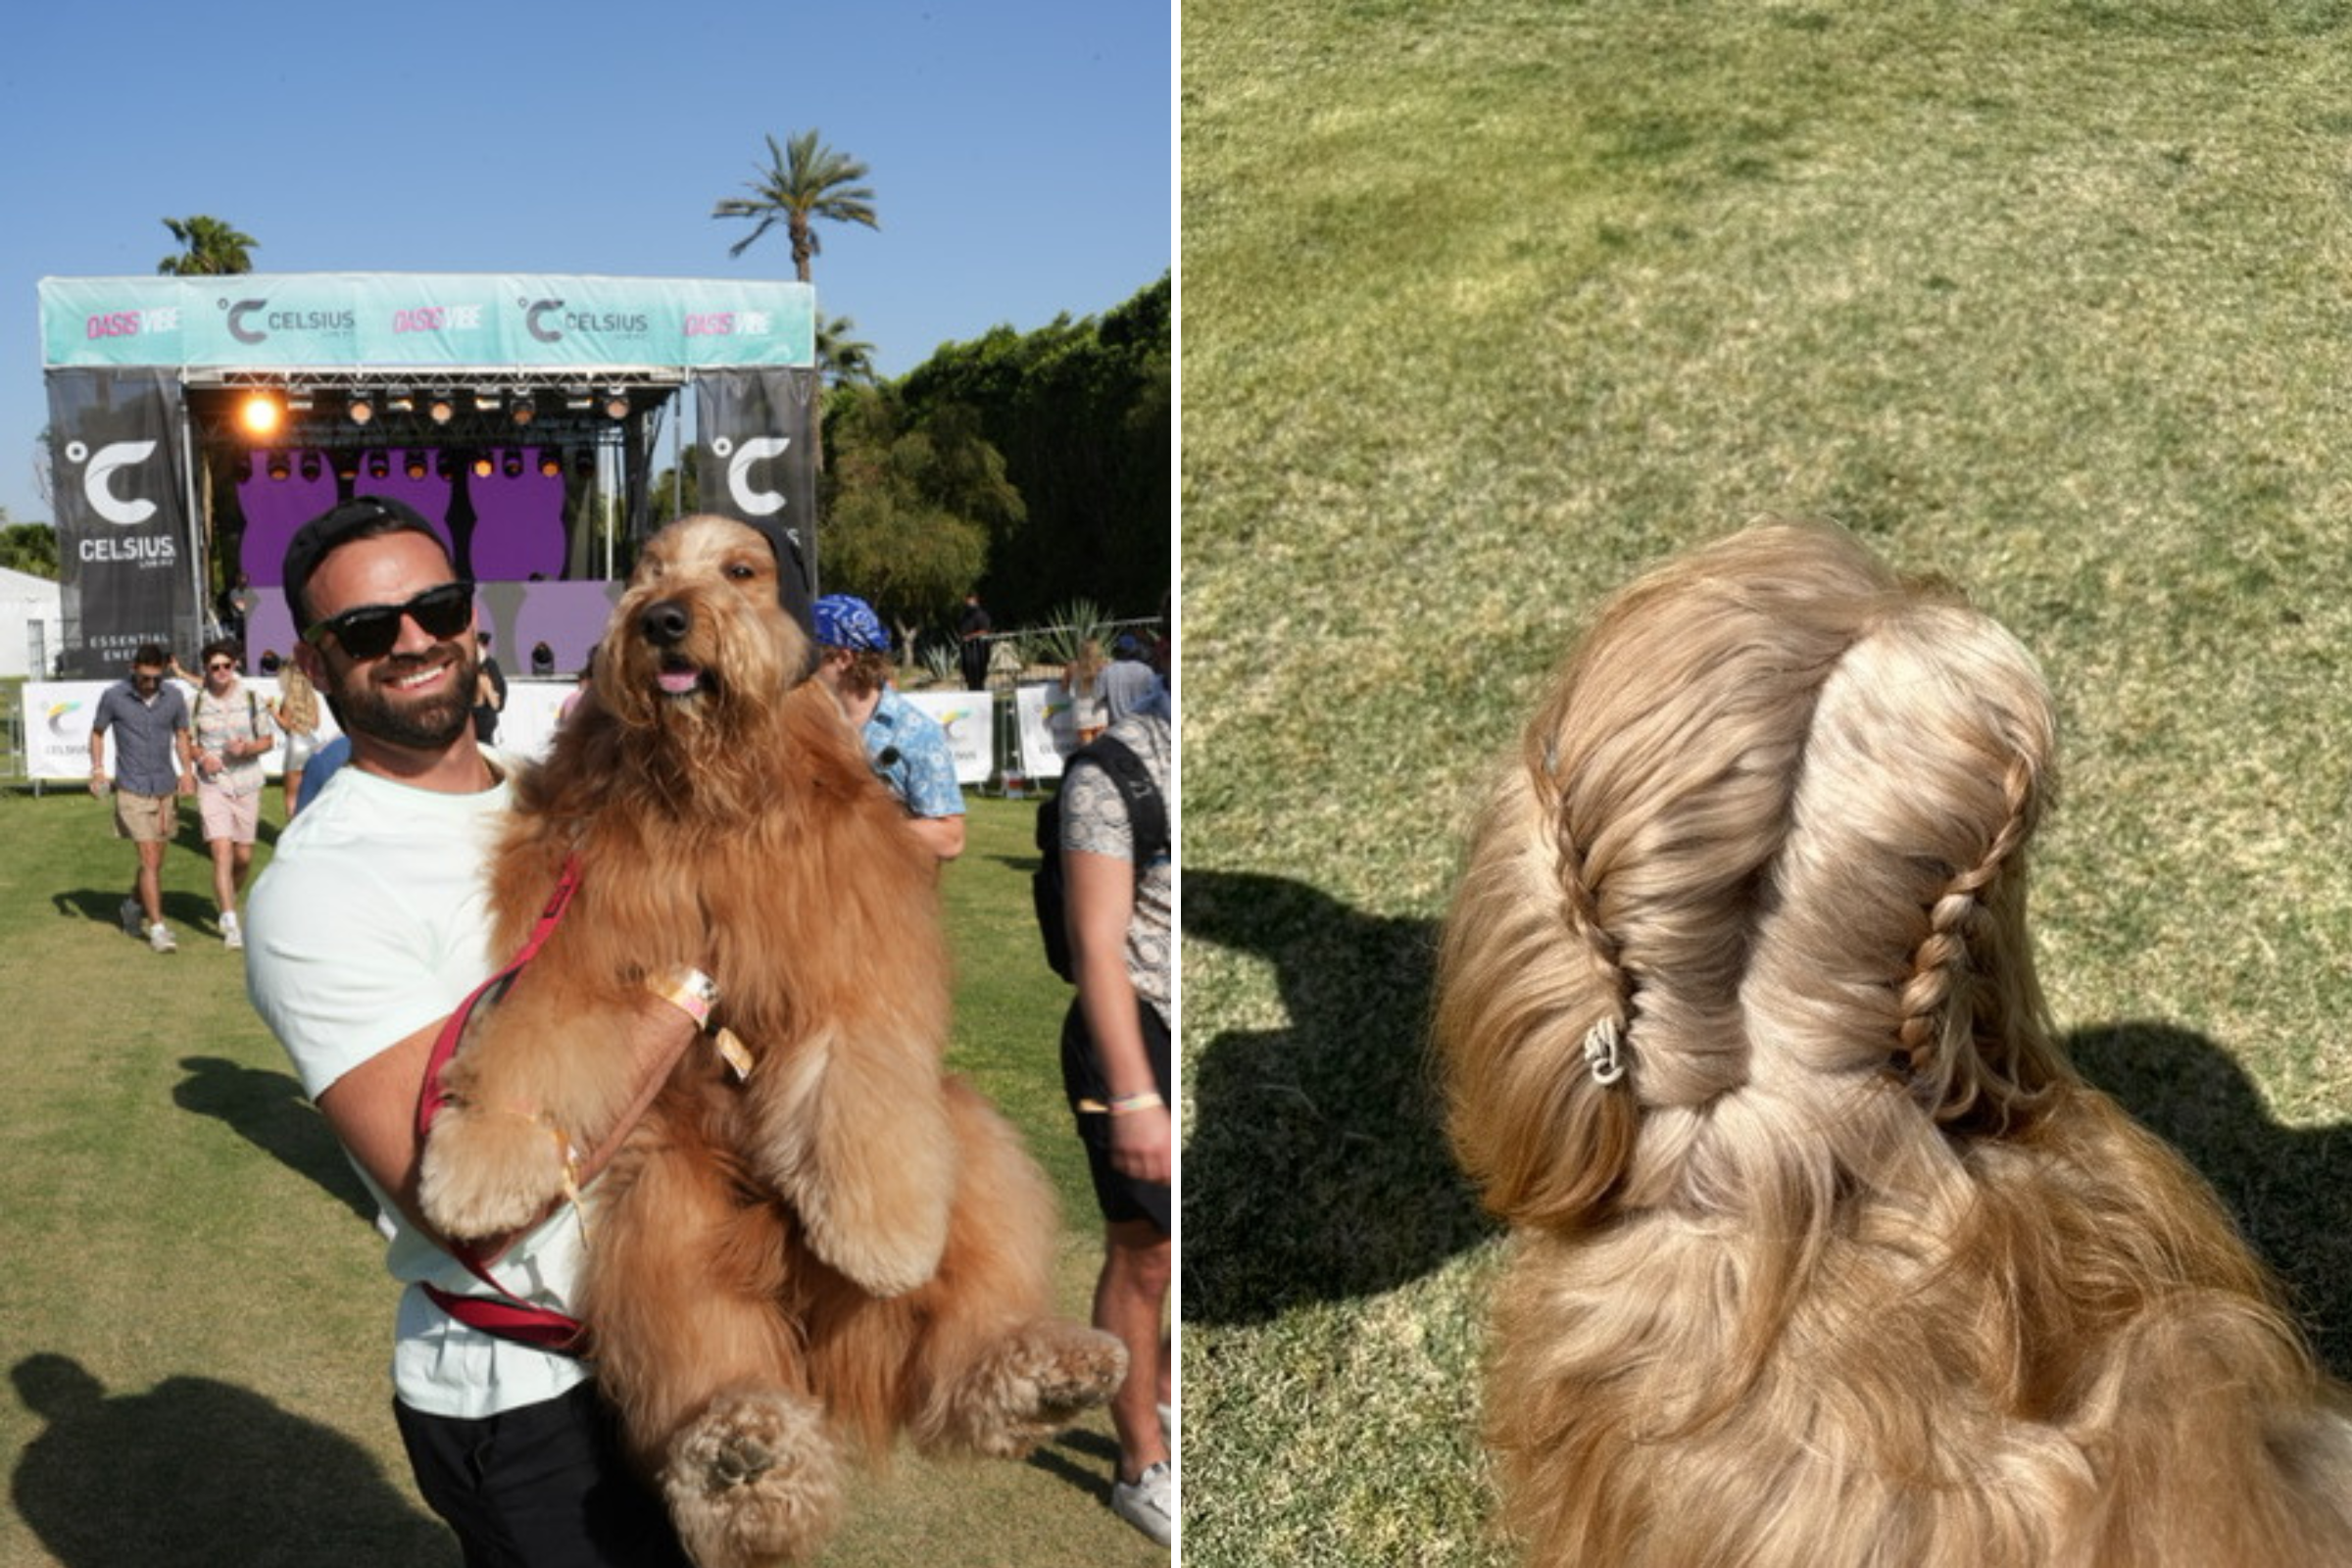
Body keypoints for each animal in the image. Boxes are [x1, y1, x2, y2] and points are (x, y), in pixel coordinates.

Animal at [416, 514, 1129, 1568]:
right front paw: (474, 1170)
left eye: (741, 570)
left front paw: (881, 1237)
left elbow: (858, 1071)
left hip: (964, 1132)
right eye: (647, 572)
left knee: (961, 1325)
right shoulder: (587, 945)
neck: (712, 796)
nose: (664, 621)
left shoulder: (845, 963)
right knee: (708, 1354)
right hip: (668, 1205)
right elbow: (533, 1038)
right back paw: (740, 1452)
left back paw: (1028, 1369)